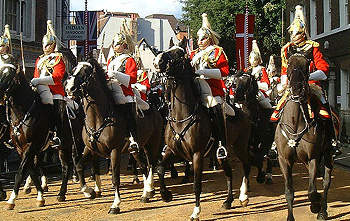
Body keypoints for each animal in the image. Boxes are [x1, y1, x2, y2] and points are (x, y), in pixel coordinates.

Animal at [65, 57, 163, 213]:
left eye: (86, 72)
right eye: (74, 69)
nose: (69, 88)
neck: (98, 119)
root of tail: (154, 110)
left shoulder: (114, 150)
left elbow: (115, 177)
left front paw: (115, 204)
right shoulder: (89, 148)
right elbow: (79, 166)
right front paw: (89, 191)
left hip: (151, 143)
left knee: (151, 164)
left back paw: (149, 190)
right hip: (136, 149)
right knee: (143, 166)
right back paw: (146, 193)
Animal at [153, 45, 252, 220]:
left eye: (179, 54)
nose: (157, 60)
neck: (181, 116)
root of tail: (243, 111)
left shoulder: (197, 154)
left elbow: (196, 184)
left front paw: (195, 211)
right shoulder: (172, 151)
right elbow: (160, 169)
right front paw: (166, 195)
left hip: (239, 146)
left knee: (246, 165)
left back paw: (243, 196)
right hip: (221, 154)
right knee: (228, 173)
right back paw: (228, 201)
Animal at [274, 54, 332, 221]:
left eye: (307, 66)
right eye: (289, 65)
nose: (296, 89)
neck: (295, 122)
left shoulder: (313, 157)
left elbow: (312, 191)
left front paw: (316, 205)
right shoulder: (284, 160)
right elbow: (289, 192)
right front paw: (290, 217)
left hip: (328, 153)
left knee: (326, 182)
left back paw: (322, 211)